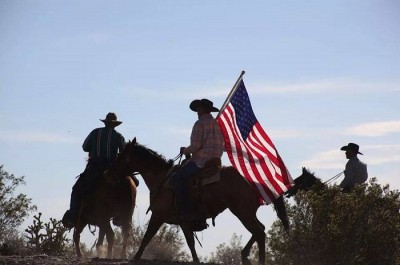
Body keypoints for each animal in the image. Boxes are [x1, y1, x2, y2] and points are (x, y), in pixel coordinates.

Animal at [104, 138, 290, 264]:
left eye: (121, 156)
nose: (108, 174)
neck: (161, 178)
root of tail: (254, 180)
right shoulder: (185, 222)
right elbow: (191, 244)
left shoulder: (158, 214)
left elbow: (147, 236)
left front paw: (135, 257)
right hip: (247, 212)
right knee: (261, 229)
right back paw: (244, 255)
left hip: (242, 212)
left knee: (259, 232)